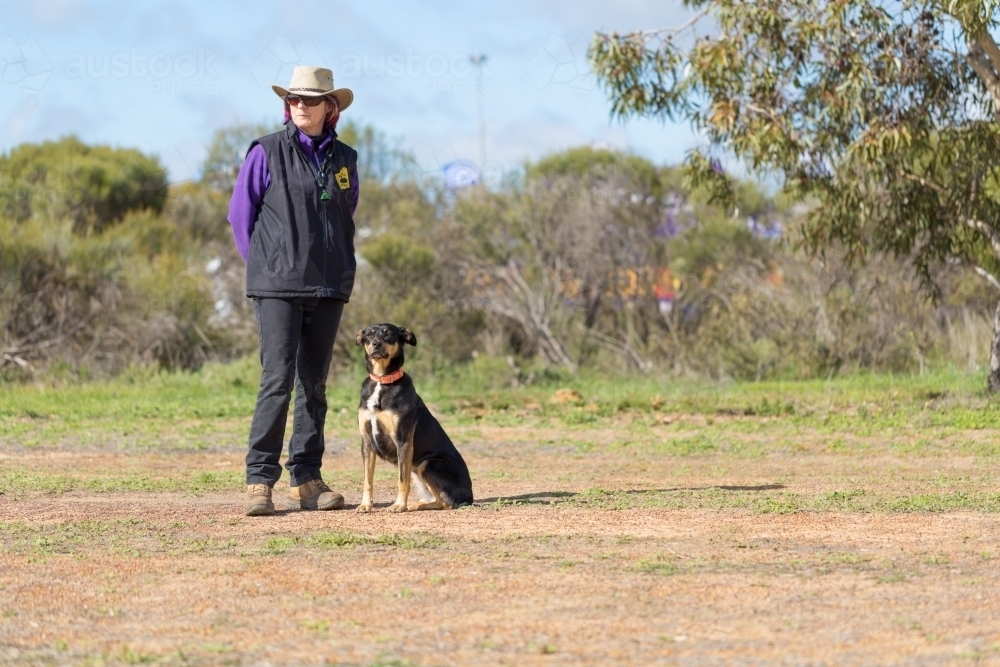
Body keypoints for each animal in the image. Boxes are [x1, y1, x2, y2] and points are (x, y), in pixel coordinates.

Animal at [356, 326, 472, 516]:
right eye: (370, 334)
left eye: (388, 333)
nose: (376, 344)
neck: (382, 380)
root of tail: (470, 497)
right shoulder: (366, 442)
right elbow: (367, 480)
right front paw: (365, 505)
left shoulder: (403, 441)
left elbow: (402, 480)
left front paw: (398, 505)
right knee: (438, 500)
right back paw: (416, 504)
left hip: (428, 464)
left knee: (446, 503)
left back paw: (413, 505)